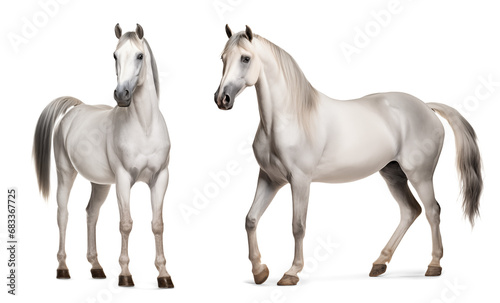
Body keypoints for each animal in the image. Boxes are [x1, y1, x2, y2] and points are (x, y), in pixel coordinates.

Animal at [33, 24, 174, 290]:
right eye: (115, 55)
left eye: (140, 56)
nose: (122, 94)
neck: (145, 127)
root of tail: (75, 109)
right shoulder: (123, 180)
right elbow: (126, 224)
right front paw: (125, 275)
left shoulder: (160, 178)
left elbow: (158, 224)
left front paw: (164, 275)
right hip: (66, 174)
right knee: (63, 214)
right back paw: (63, 268)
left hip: (100, 185)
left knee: (91, 213)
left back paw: (96, 267)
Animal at [214, 25, 480, 286]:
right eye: (223, 58)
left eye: (246, 58)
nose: (221, 99)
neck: (291, 116)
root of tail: (427, 107)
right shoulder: (270, 179)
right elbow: (251, 219)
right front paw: (259, 271)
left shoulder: (300, 181)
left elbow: (298, 226)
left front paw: (292, 273)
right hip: (393, 174)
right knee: (410, 210)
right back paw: (379, 263)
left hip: (420, 175)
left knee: (432, 210)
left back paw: (433, 265)